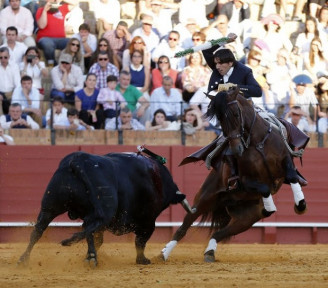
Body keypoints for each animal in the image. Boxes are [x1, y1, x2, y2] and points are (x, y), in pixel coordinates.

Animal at [17, 152, 190, 266]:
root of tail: (77, 160)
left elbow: (98, 238)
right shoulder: (148, 222)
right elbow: (140, 241)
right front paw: (142, 260)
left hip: (50, 206)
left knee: (39, 229)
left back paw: (23, 259)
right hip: (105, 210)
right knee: (88, 226)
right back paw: (88, 255)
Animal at [161, 86, 308, 262]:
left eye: (237, 114)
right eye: (220, 119)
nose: (237, 149)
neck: (258, 142)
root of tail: (226, 202)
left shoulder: (286, 163)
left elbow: (292, 177)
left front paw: (300, 205)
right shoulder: (245, 181)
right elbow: (264, 188)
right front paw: (271, 206)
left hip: (247, 219)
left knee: (219, 233)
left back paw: (209, 252)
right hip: (204, 199)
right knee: (184, 226)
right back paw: (164, 253)